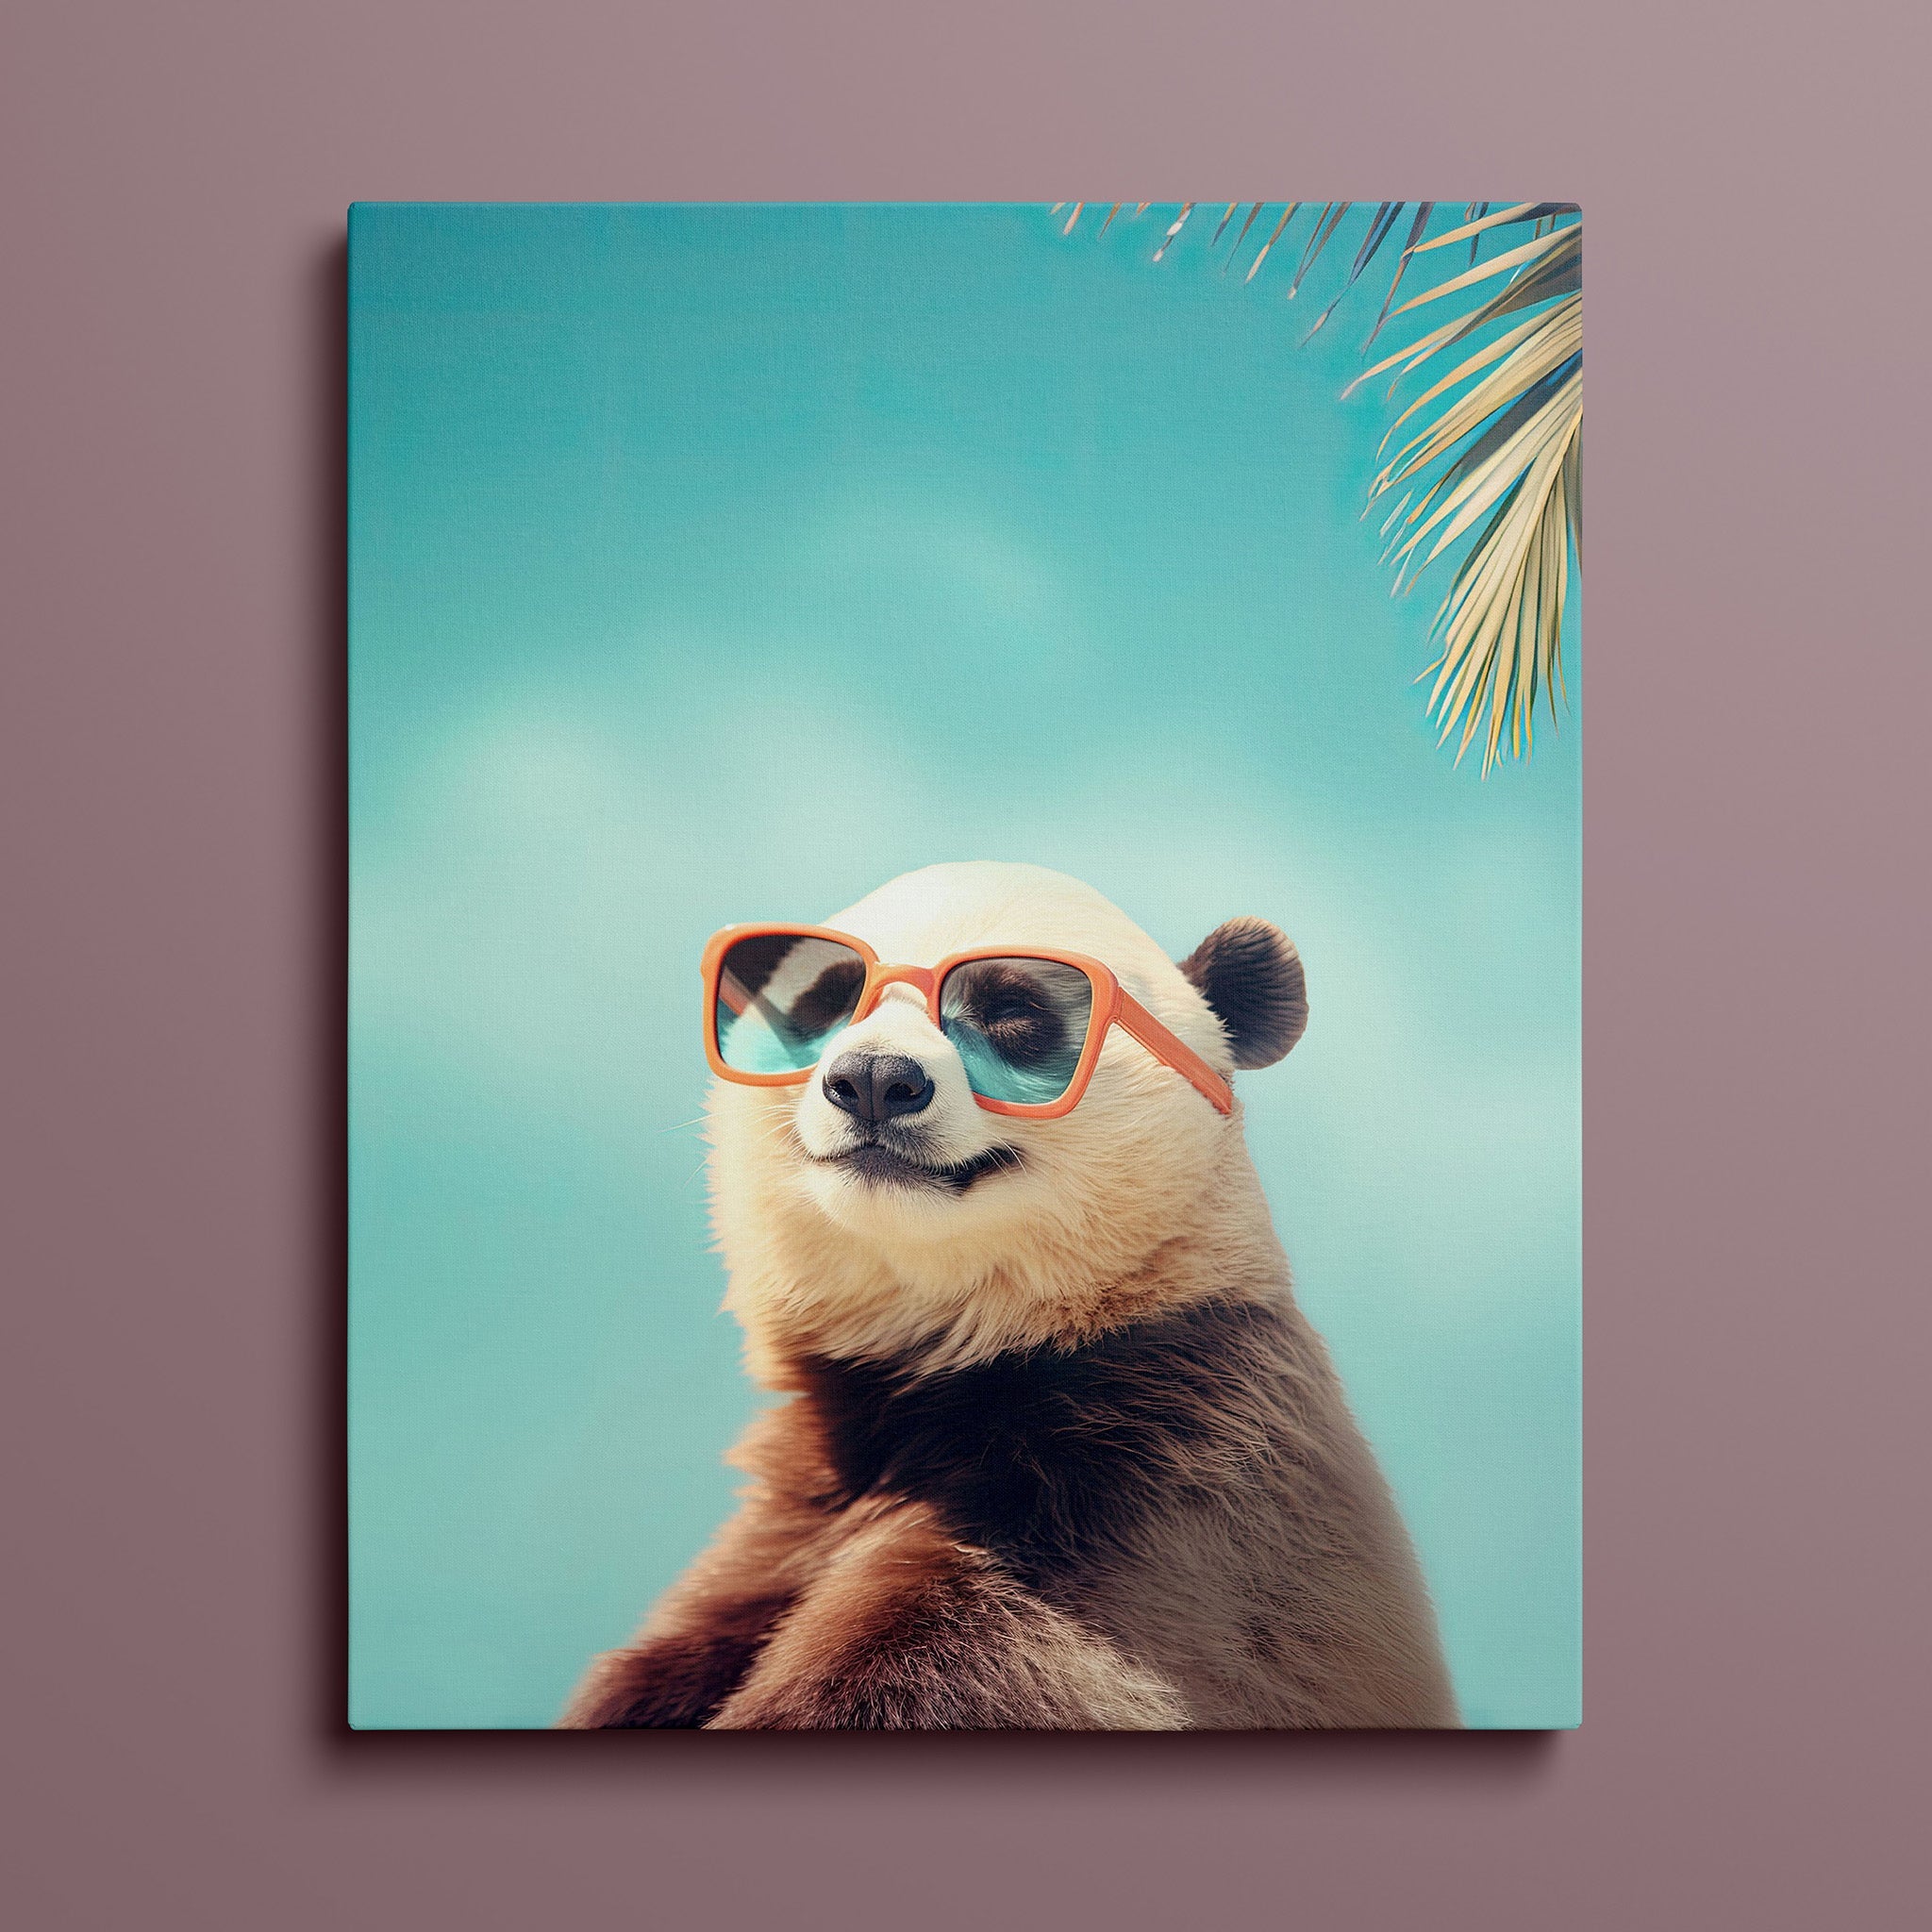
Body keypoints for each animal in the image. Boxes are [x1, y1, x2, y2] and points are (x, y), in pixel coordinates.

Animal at [562, 862, 1456, 1728]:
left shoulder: (1166, 1481)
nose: (874, 1079)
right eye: (830, 998)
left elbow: (960, 1667)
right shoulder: (793, 1510)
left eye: (1013, 1012)